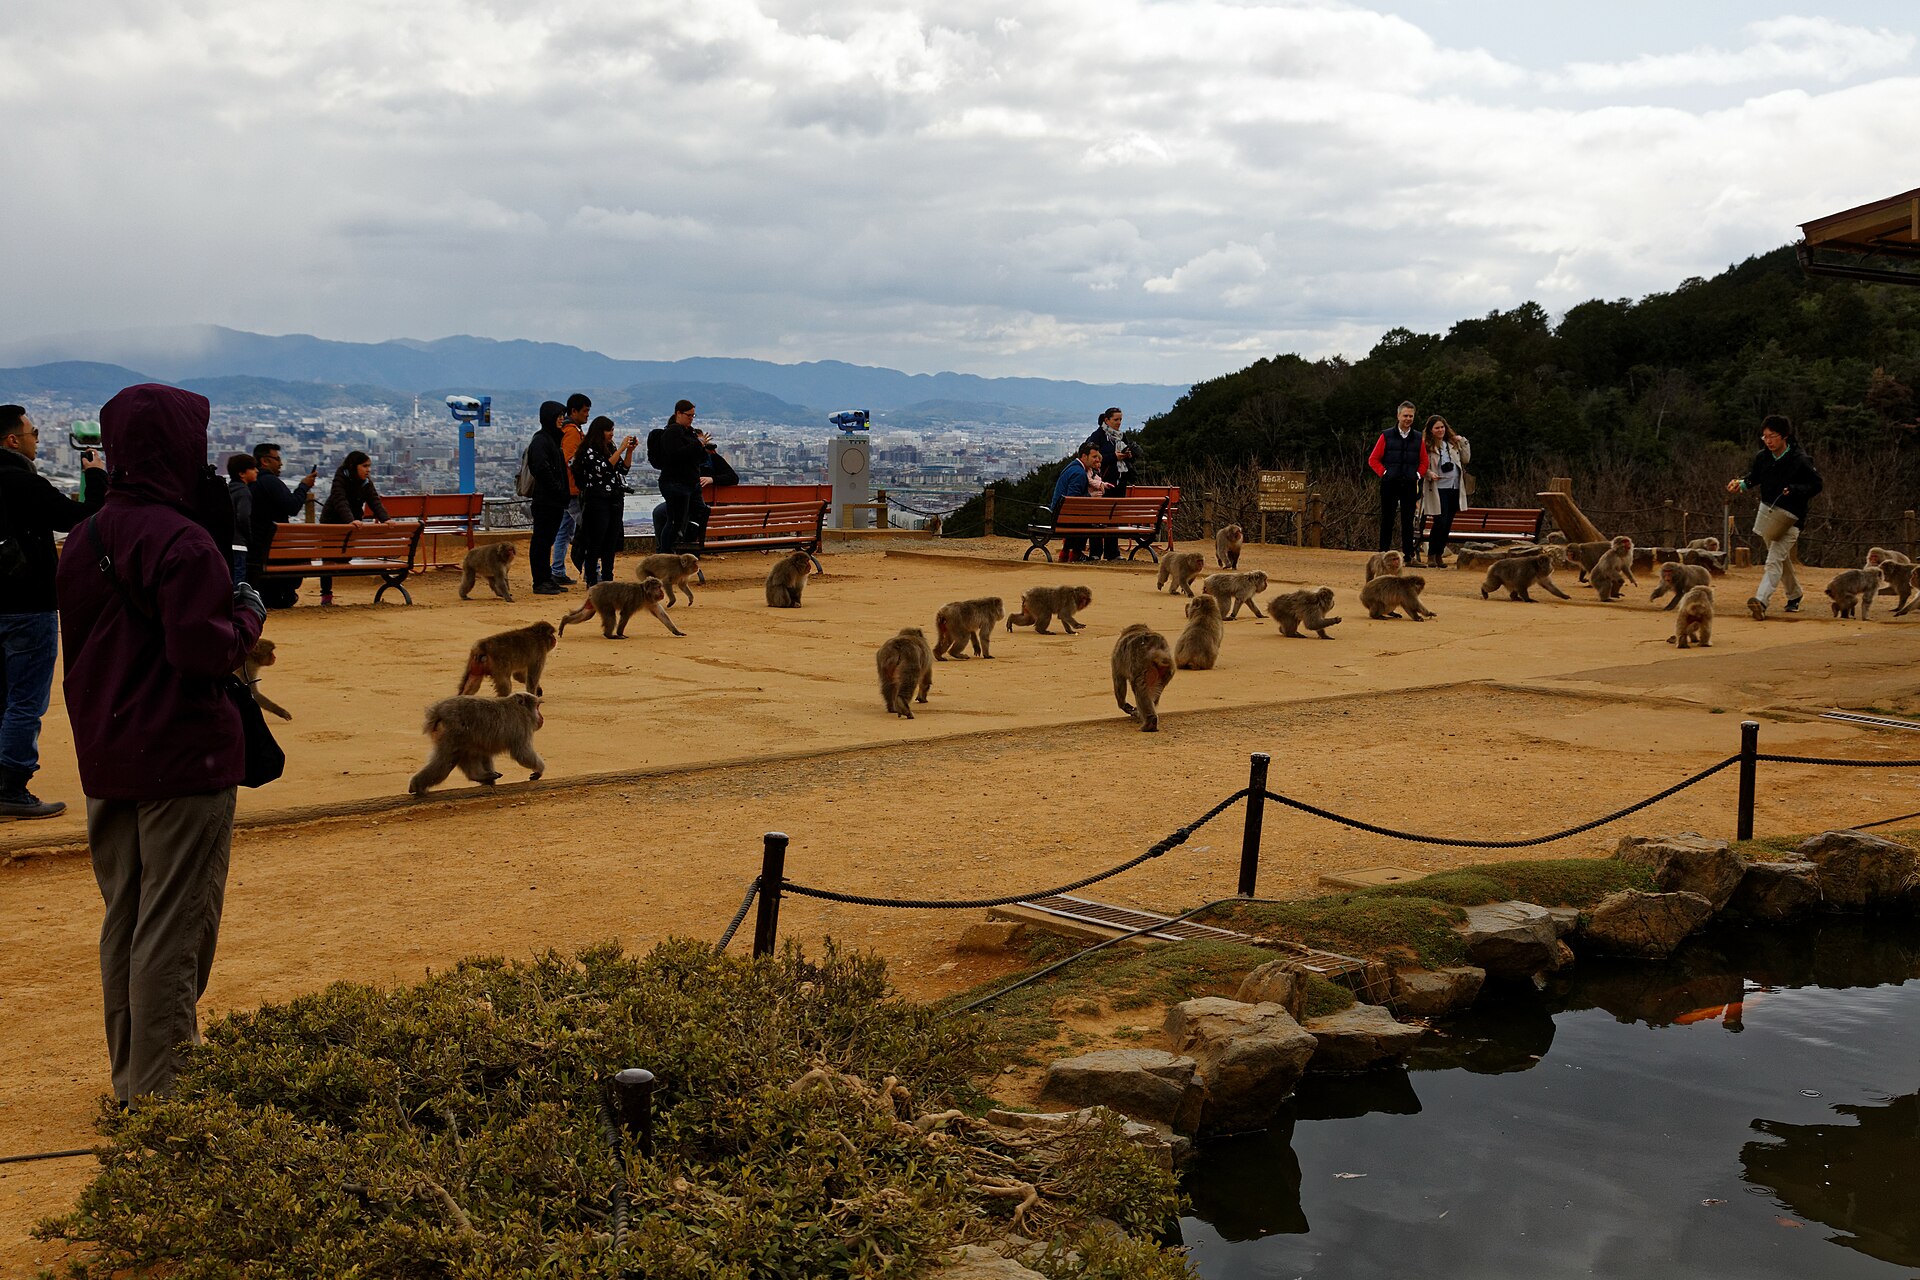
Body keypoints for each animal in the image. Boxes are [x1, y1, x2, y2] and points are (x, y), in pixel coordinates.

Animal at [408, 692, 545, 794]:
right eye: (537, 707)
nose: (542, 718)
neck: (519, 709)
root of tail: (439, 711)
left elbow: (485, 754)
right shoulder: (520, 727)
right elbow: (522, 754)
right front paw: (539, 769)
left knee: (467, 753)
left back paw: (478, 775)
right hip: (453, 733)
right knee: (446, 761)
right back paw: (417, 785)